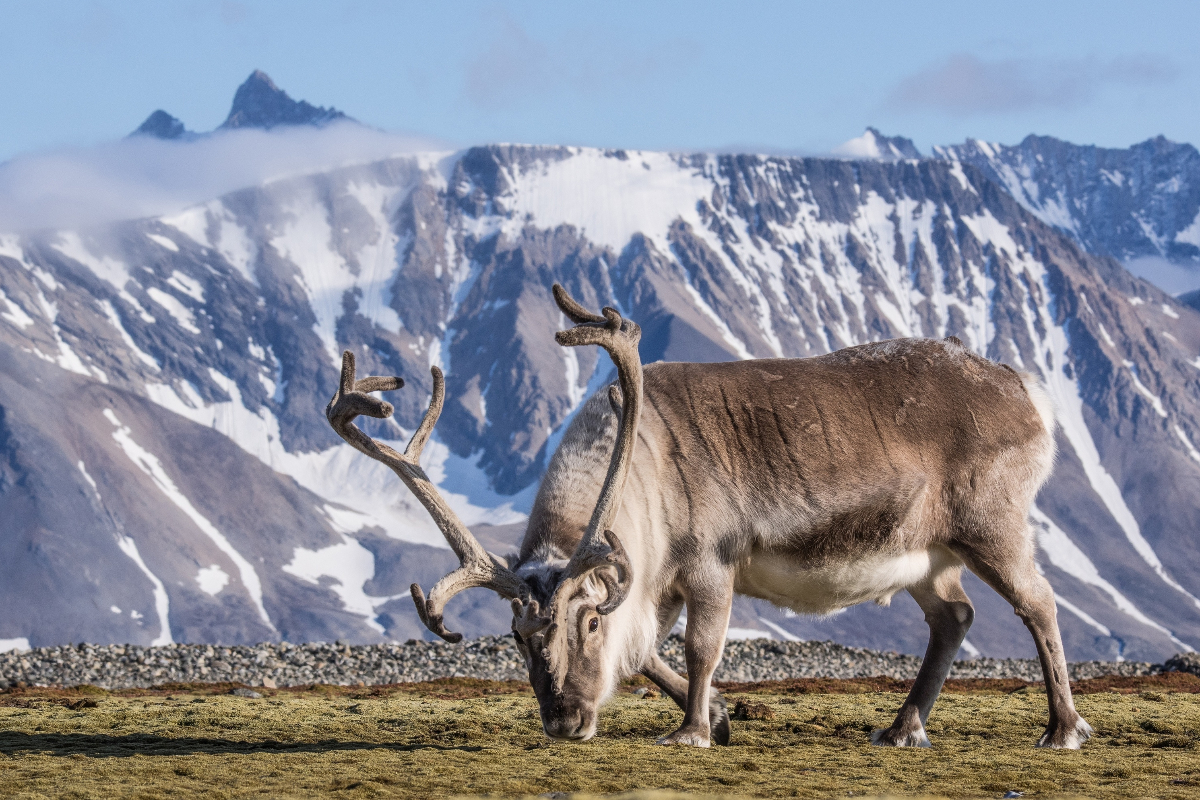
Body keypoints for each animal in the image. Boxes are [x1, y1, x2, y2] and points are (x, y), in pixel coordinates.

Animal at [324, 283, 1092, 750]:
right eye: (516, 636)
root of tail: (1026, 390)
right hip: (927, 556)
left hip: (992, 524)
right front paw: (719, 714)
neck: (639, 469)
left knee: (1039, 604)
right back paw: (902, 727)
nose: (565, 721)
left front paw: (693, 728)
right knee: (955, 616)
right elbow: (643, 654)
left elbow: (699, 648)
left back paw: (1063, 728)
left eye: (589, 622)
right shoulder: (652, 581)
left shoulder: (709, 563)